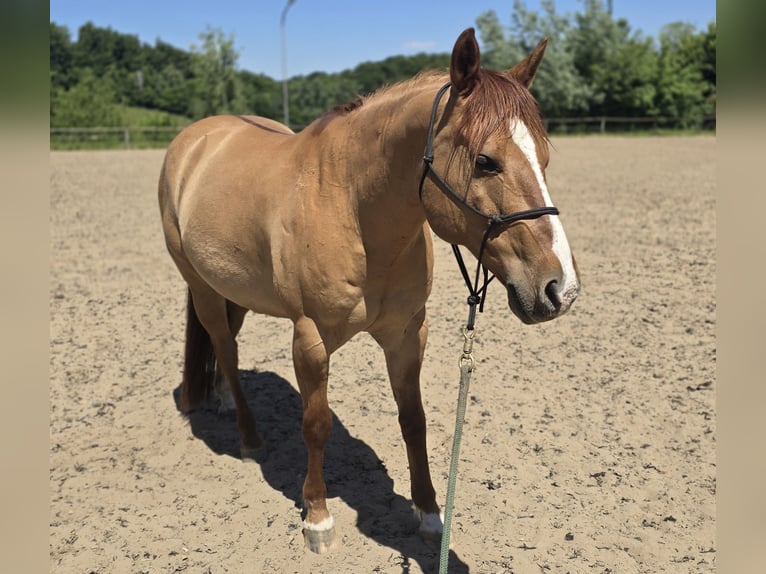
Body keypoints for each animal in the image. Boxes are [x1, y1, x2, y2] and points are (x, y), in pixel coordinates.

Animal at [158, 27, 580, 554]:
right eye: (486, 162)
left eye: (544, 158)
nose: (560, 288)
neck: (351, 205)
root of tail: (194, 141)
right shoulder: (310, 339)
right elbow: (316, 425)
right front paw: (318, 518)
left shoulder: (406, 334)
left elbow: (414, 420)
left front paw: (429, 513)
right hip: (201, 288)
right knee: (227, 351)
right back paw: (249, 437)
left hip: (231, 287)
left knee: (225, 348)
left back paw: (222, 401)